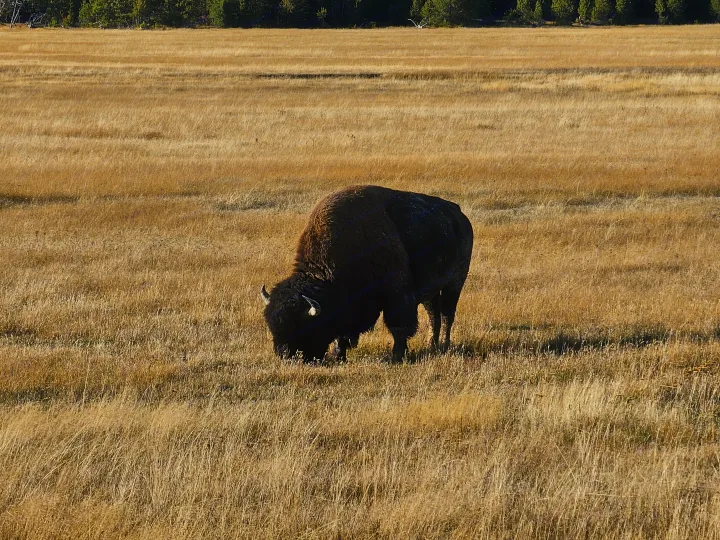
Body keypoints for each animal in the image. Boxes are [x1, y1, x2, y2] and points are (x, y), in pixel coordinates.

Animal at [261, 185, 473, 363]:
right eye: (272, 326)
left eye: (303, 327)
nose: (285, 356)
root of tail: (459, 214)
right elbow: (342, 333)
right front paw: (338, 355)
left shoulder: (397, 296)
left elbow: (398, 326)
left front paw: (397, 356)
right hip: (431, 290)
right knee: (433, 314)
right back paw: (431, 345)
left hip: (455, 282)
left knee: (446, 314)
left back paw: (443, 345)